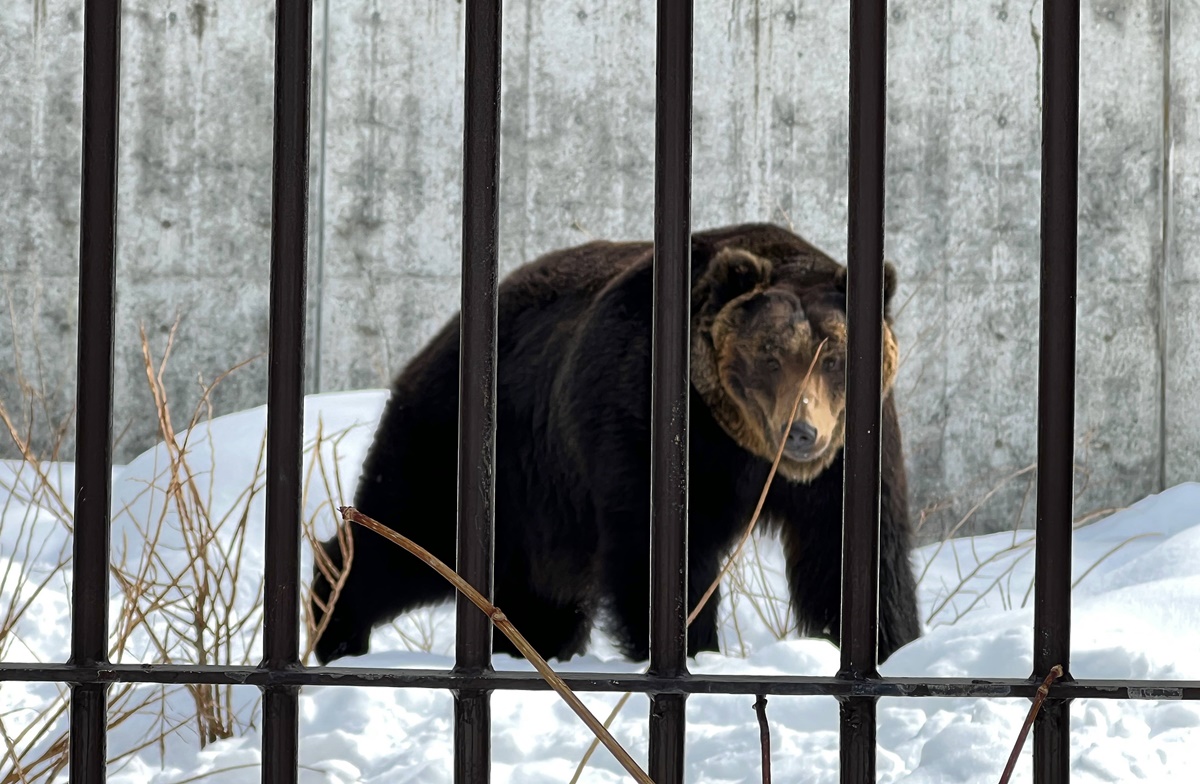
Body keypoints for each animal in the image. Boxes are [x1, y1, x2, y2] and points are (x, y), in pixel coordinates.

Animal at [309, 223, 916, 662]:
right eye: (769, 356)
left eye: (834, 359)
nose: (803, 431)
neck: (746, 448)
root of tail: (444, 334)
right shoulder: (643, 420)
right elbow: (657, 556)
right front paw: (694, 647)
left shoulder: (851, 454)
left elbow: (850, 559)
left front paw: (892, 645)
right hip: (472, 442)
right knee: (407, 535)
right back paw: (335, 623)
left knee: (540, 594)